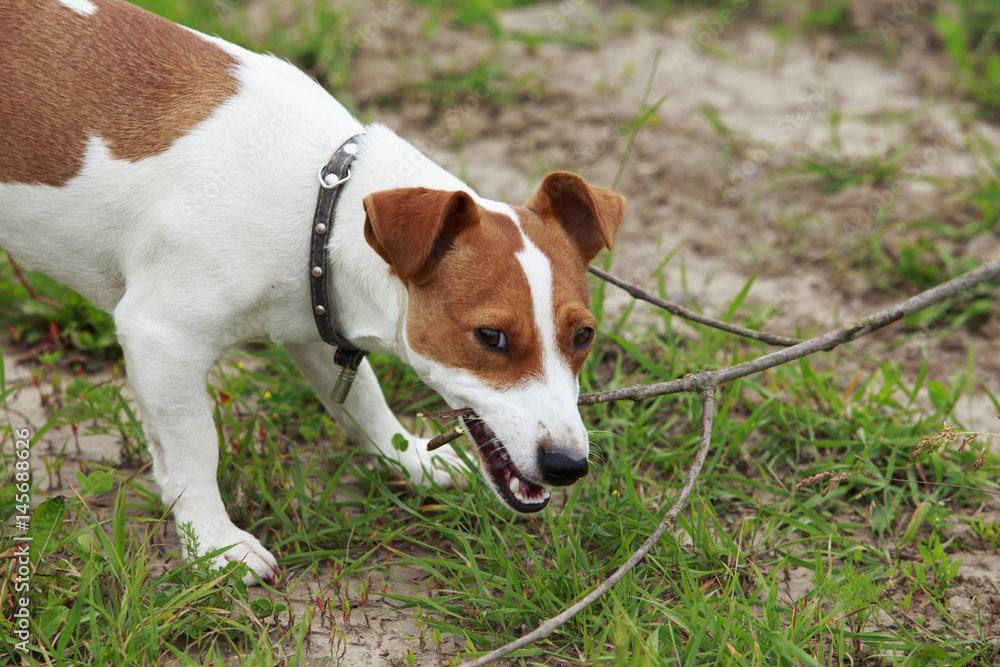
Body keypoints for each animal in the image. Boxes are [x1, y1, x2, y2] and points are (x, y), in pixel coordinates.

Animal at [0, 0, 624, 580]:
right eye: (491, 337)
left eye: (583, 336)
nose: (569, 466)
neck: (327, 203)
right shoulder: (160, 338)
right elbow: (196, 447)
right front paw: (214, 545)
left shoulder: (317, 312)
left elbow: (364, 400)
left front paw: (410, 460)